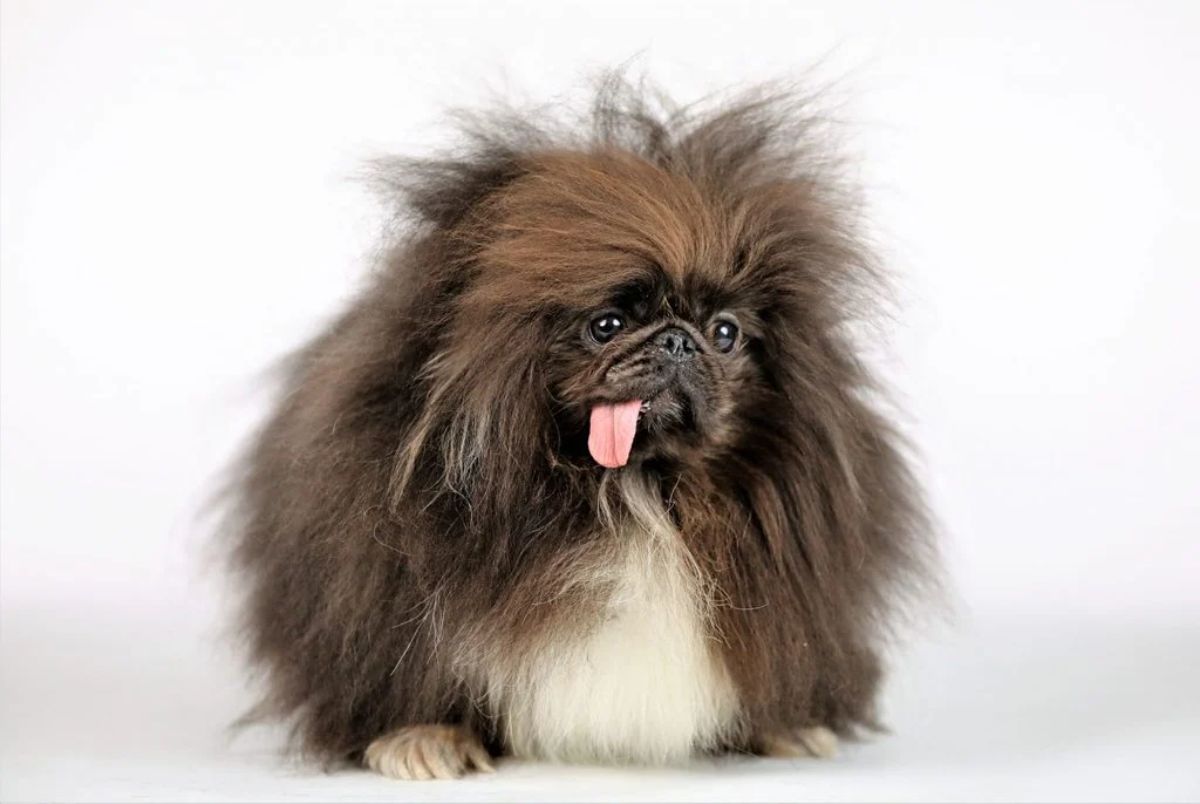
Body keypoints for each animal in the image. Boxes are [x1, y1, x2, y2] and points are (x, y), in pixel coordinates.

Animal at [229, 75, 931, 782]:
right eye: (607, 325)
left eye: (726, 333)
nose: (678, 341)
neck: (637, 490)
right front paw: (423, 735)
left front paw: (786, 724)